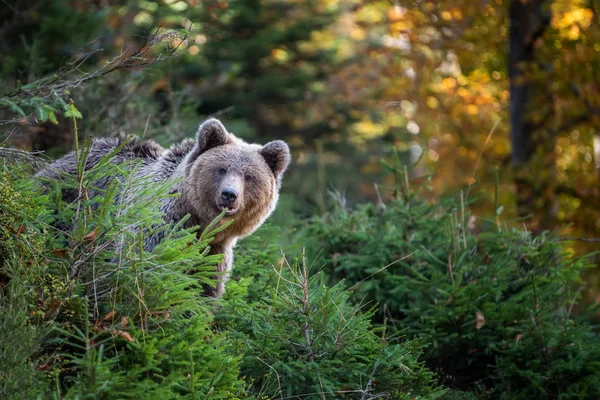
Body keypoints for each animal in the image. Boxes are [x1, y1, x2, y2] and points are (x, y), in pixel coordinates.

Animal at [37, 117, 290, 296]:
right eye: (221, 169)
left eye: (249, 176)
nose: (229, 195)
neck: (197, 221)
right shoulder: (157, 230)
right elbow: (145, 273)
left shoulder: (212, 252)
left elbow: (201, 290)